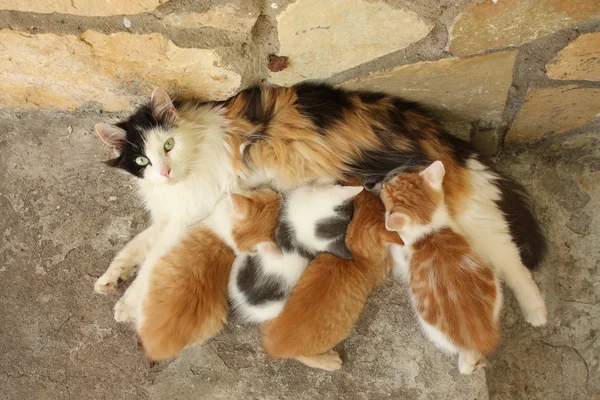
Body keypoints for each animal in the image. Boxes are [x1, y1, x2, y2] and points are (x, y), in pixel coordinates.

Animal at [380, 160, 502, 376]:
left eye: (386, 189)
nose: (384, 179)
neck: (428, 228)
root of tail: (480, 333)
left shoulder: (401, 255)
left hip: (431, 327)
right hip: (496, 291)